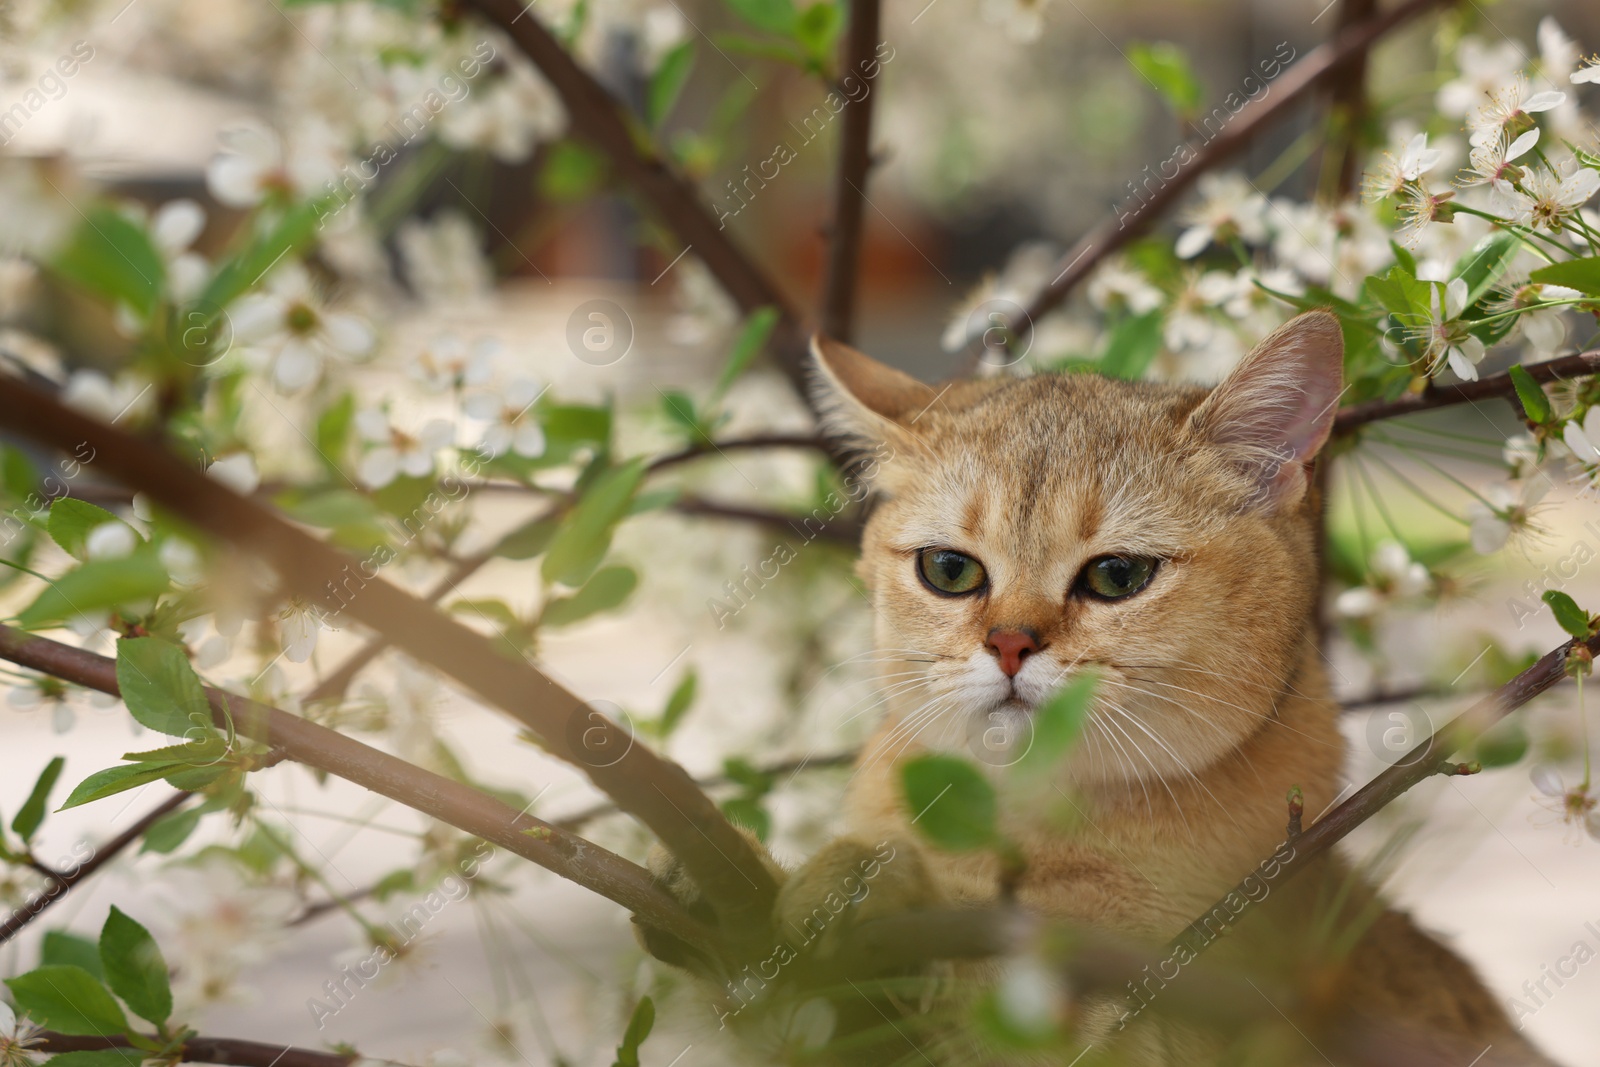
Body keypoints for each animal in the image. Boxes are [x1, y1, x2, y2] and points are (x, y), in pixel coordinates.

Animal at [640, 313, 1561, 1067]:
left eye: (1117, 576)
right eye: (950, 570)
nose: (1010, 642)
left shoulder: (1145, 1020)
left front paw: (878, 892)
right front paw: (757, 880)